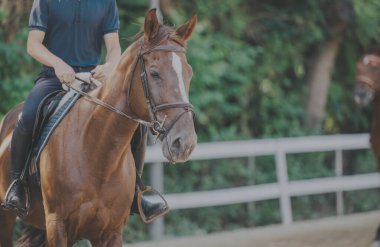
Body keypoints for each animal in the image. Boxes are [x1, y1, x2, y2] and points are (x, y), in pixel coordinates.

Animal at [0, 8, 199, 246]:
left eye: (189, 73)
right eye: (154, 73)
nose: (184, 143)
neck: (97, 152)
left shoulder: (111, 232)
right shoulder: (57, 226)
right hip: (7, 217)